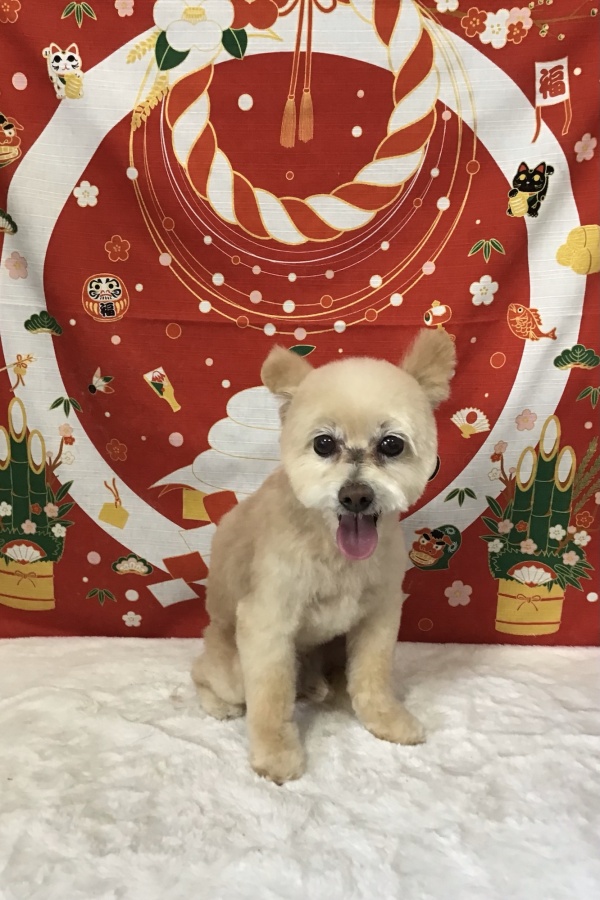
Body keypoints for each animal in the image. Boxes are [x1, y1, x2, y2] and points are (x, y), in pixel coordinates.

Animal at [192, 329, 456, 783]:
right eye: (324, 444)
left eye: (391, 444)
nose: (356, 496)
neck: (333, 550)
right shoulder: (266, 622)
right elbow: (270, 698)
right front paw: (275, 755)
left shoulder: (380, 614)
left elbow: (373, 676)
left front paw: (385, 719)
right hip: (229, 664)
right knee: (208, 676)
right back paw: (221, 703)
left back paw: (322, 688)